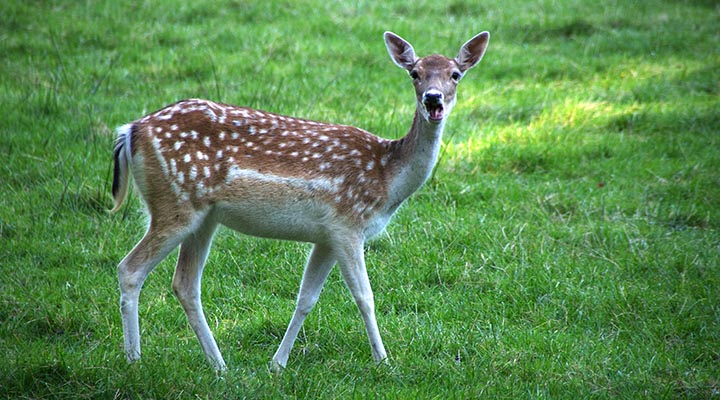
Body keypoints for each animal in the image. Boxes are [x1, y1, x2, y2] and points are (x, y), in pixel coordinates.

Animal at [109, 31, 490, 372]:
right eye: (415, 73)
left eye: (455, 74)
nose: (433, 99)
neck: (386, 179)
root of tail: (130, 131)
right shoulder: (347, 223)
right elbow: (365, 297)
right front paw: (384, 361)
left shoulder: (327, 235)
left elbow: (306, 298)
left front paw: (277, 364)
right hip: (174, 203)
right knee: (130, 268)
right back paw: (134, 360)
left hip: (204, 217)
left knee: (185, 285)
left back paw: (219, 366)